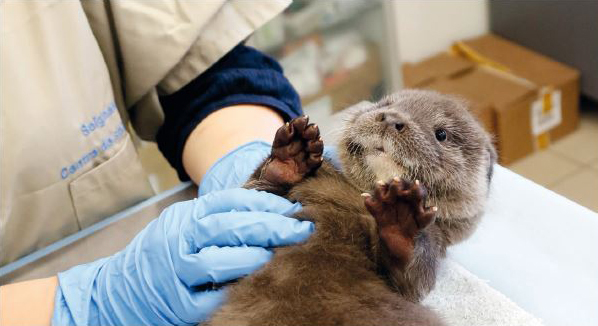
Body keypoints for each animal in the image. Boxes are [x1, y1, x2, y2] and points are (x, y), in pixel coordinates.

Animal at [206, 90, 496, 326]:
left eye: (441, 134)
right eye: (386, 104)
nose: (390, 118)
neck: (357, 199)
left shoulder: (434, 246)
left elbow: (411, 278)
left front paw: (401, 216)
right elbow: (258, 189)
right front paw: (291, 157)